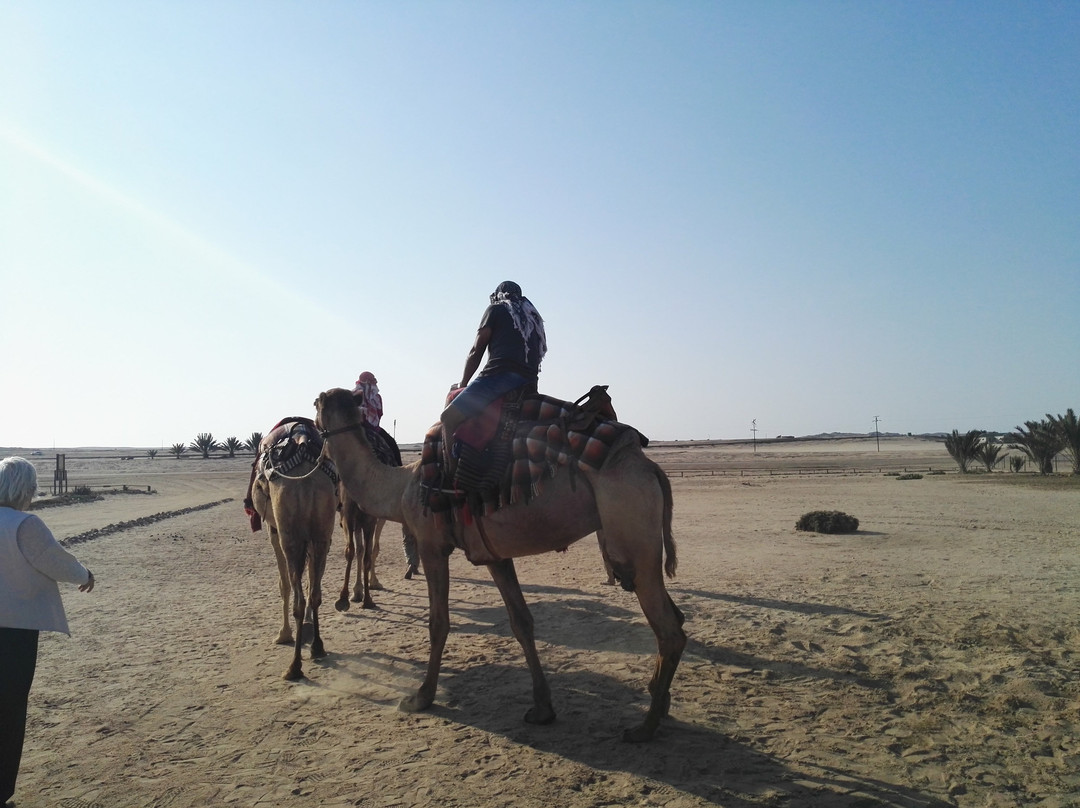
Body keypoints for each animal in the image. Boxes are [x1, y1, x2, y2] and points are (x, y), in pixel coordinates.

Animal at [250, 439, 338, 681]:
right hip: (322, 533)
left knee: (298, 596)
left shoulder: (274, 531)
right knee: (315, 592)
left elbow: (284, 585)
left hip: (289, 535)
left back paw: (294, 667)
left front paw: (283, 634)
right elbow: (310, 582)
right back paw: (317, 647)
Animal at [315, 387, 686, 742]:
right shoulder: (495, 555)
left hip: (630, 529)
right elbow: (522, 622)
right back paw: (660, 701)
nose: (314, 445)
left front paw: (421, 697)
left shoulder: (431, 545)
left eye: (316, 406)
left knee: (668, 629)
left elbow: (438, 623)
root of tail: (649, 468)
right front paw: (542, 708)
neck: (402, 486)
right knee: (675, 617)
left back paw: (644, 728)